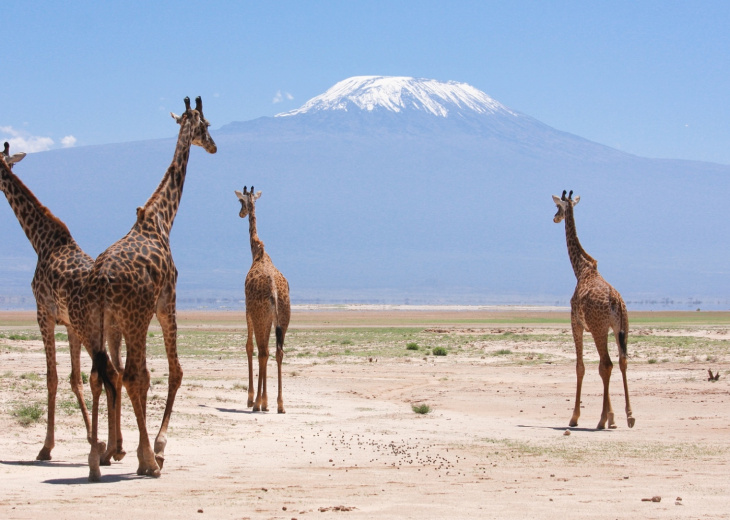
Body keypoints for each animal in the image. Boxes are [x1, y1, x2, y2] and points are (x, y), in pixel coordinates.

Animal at [0, 140, 125, 462]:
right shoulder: (69, 325)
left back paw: (113, 449)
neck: (41, 241)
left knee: (108, 374)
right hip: (112, 330)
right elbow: (75, 379)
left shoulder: (43, 313)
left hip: (92, 329)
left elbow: (53, 378)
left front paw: (46, 447)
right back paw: (117, 448)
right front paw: (92, 438)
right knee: (118, 373)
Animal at [70, 96, 219, 480]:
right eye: (206, 125)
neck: (162, 218)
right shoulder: (167, 303)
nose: (213, 146)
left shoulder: (114, 324)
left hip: (95, 323)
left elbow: (121, 375)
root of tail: (101, 281)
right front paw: (156, 450)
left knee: (102, 374)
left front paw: (121, 450)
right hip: (137, 318)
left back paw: (95, 460)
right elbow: (172, 372)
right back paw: (149, 460)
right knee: (135, 374)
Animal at [552, 191, 632, 430]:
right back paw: (629, 416)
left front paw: (575, 417)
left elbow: (581, 367)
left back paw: (601, 420)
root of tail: (616, 301)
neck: (581, 269)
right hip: (621, 328)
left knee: (606, 364)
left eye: (558, 207)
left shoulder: (576, 323)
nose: (554, 218)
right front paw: (613, 418)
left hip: (599, 329)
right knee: (621, 361)